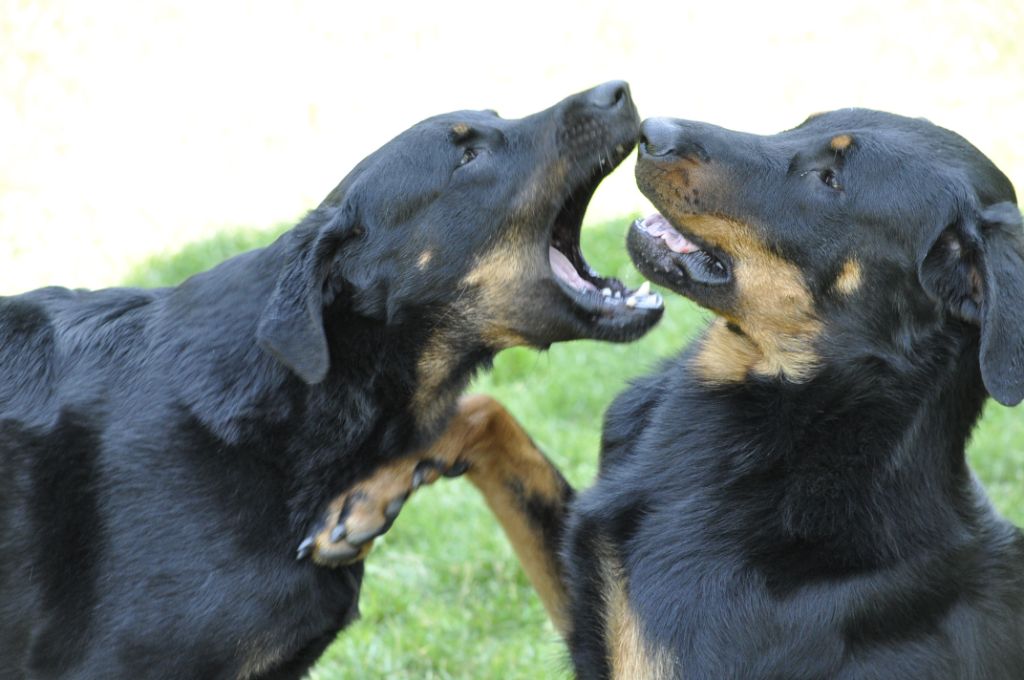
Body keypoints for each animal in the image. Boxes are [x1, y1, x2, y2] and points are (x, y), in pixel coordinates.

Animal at [323, 109, 1024, 675]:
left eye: (831, 180)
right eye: (802, 123)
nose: (650, 130)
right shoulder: (591, 596)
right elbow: (488, 416)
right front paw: (372, 491)